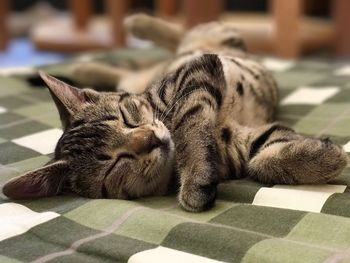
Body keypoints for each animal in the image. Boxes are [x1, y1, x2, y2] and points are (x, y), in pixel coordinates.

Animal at [2, 13, 348, 212]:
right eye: (114, 164)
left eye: (127, 117)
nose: (149, 140)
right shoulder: (239, 143)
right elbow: (259, 159)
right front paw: (324, 157)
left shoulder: (195, 72)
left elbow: (187, 127)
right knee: (128, 69)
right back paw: (85, 66)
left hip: (216, 39)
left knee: (183, 35)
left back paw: (136, 23)